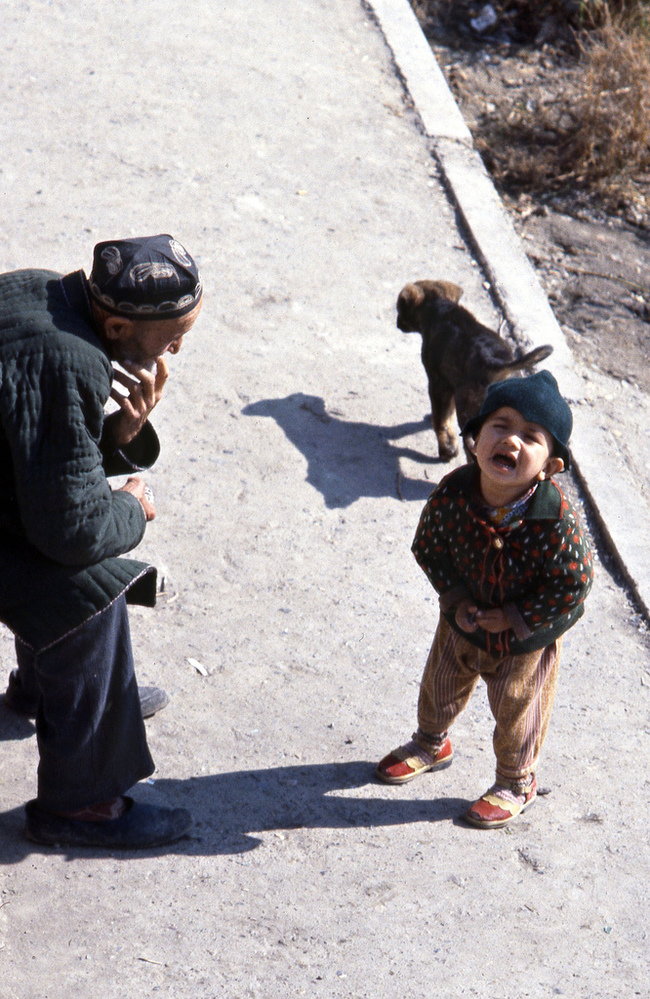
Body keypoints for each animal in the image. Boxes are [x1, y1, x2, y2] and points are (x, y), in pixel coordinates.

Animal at [394, 282, 552, 460]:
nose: (397, 323)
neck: (442, 311)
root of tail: (496, 364)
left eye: (399, 308)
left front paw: (447, 450)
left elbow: (442, 420)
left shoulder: (439, 382)